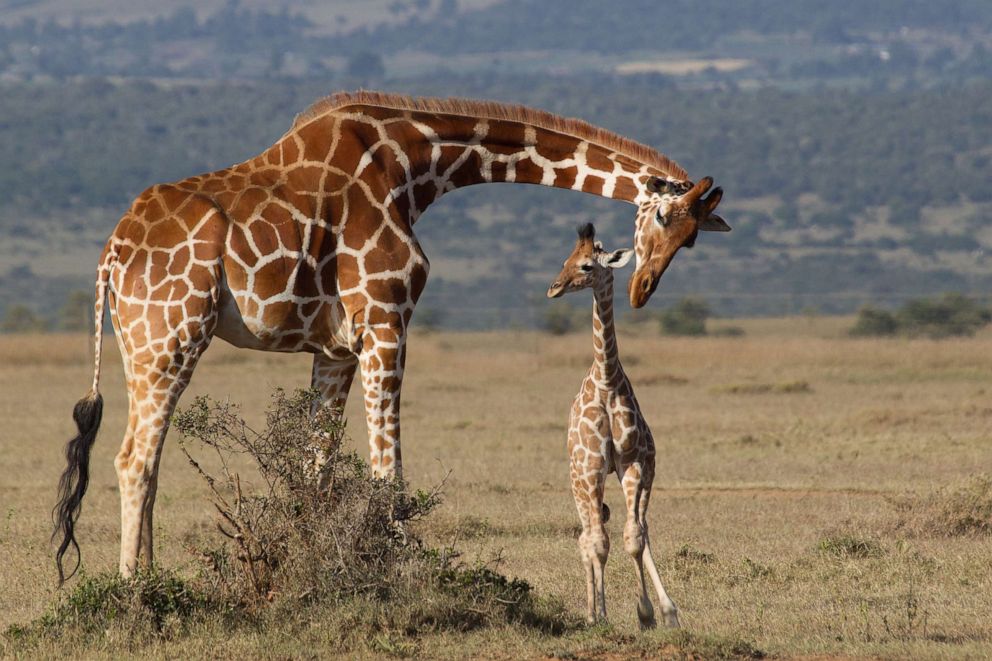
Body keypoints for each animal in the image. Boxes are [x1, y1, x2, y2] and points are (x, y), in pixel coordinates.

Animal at [52, 90, 728, 580]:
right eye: (661, 217)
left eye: (692, 239)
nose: (643, 290)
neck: (416, 167)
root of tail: (111, 254)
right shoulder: (385, 316)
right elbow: (387, 472)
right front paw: (400, 570)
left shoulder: (335, 346)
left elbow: (318, 469)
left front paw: (319, 570)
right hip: (171, 335)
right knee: (133, 458)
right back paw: (134, 590)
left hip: (142, 343)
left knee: (148, 458)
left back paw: (153, 576)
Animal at [548, 223, 680, 628]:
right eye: (566, 260)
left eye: (587, 266)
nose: (554, 287)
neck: (606, 381)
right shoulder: (592, 467)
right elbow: (599, 543)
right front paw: (601, 614)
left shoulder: (634, 462)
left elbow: (634, 538)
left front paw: (651, 612)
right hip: (578, 479)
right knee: (587, 536)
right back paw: (593, 612)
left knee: (636, 531)